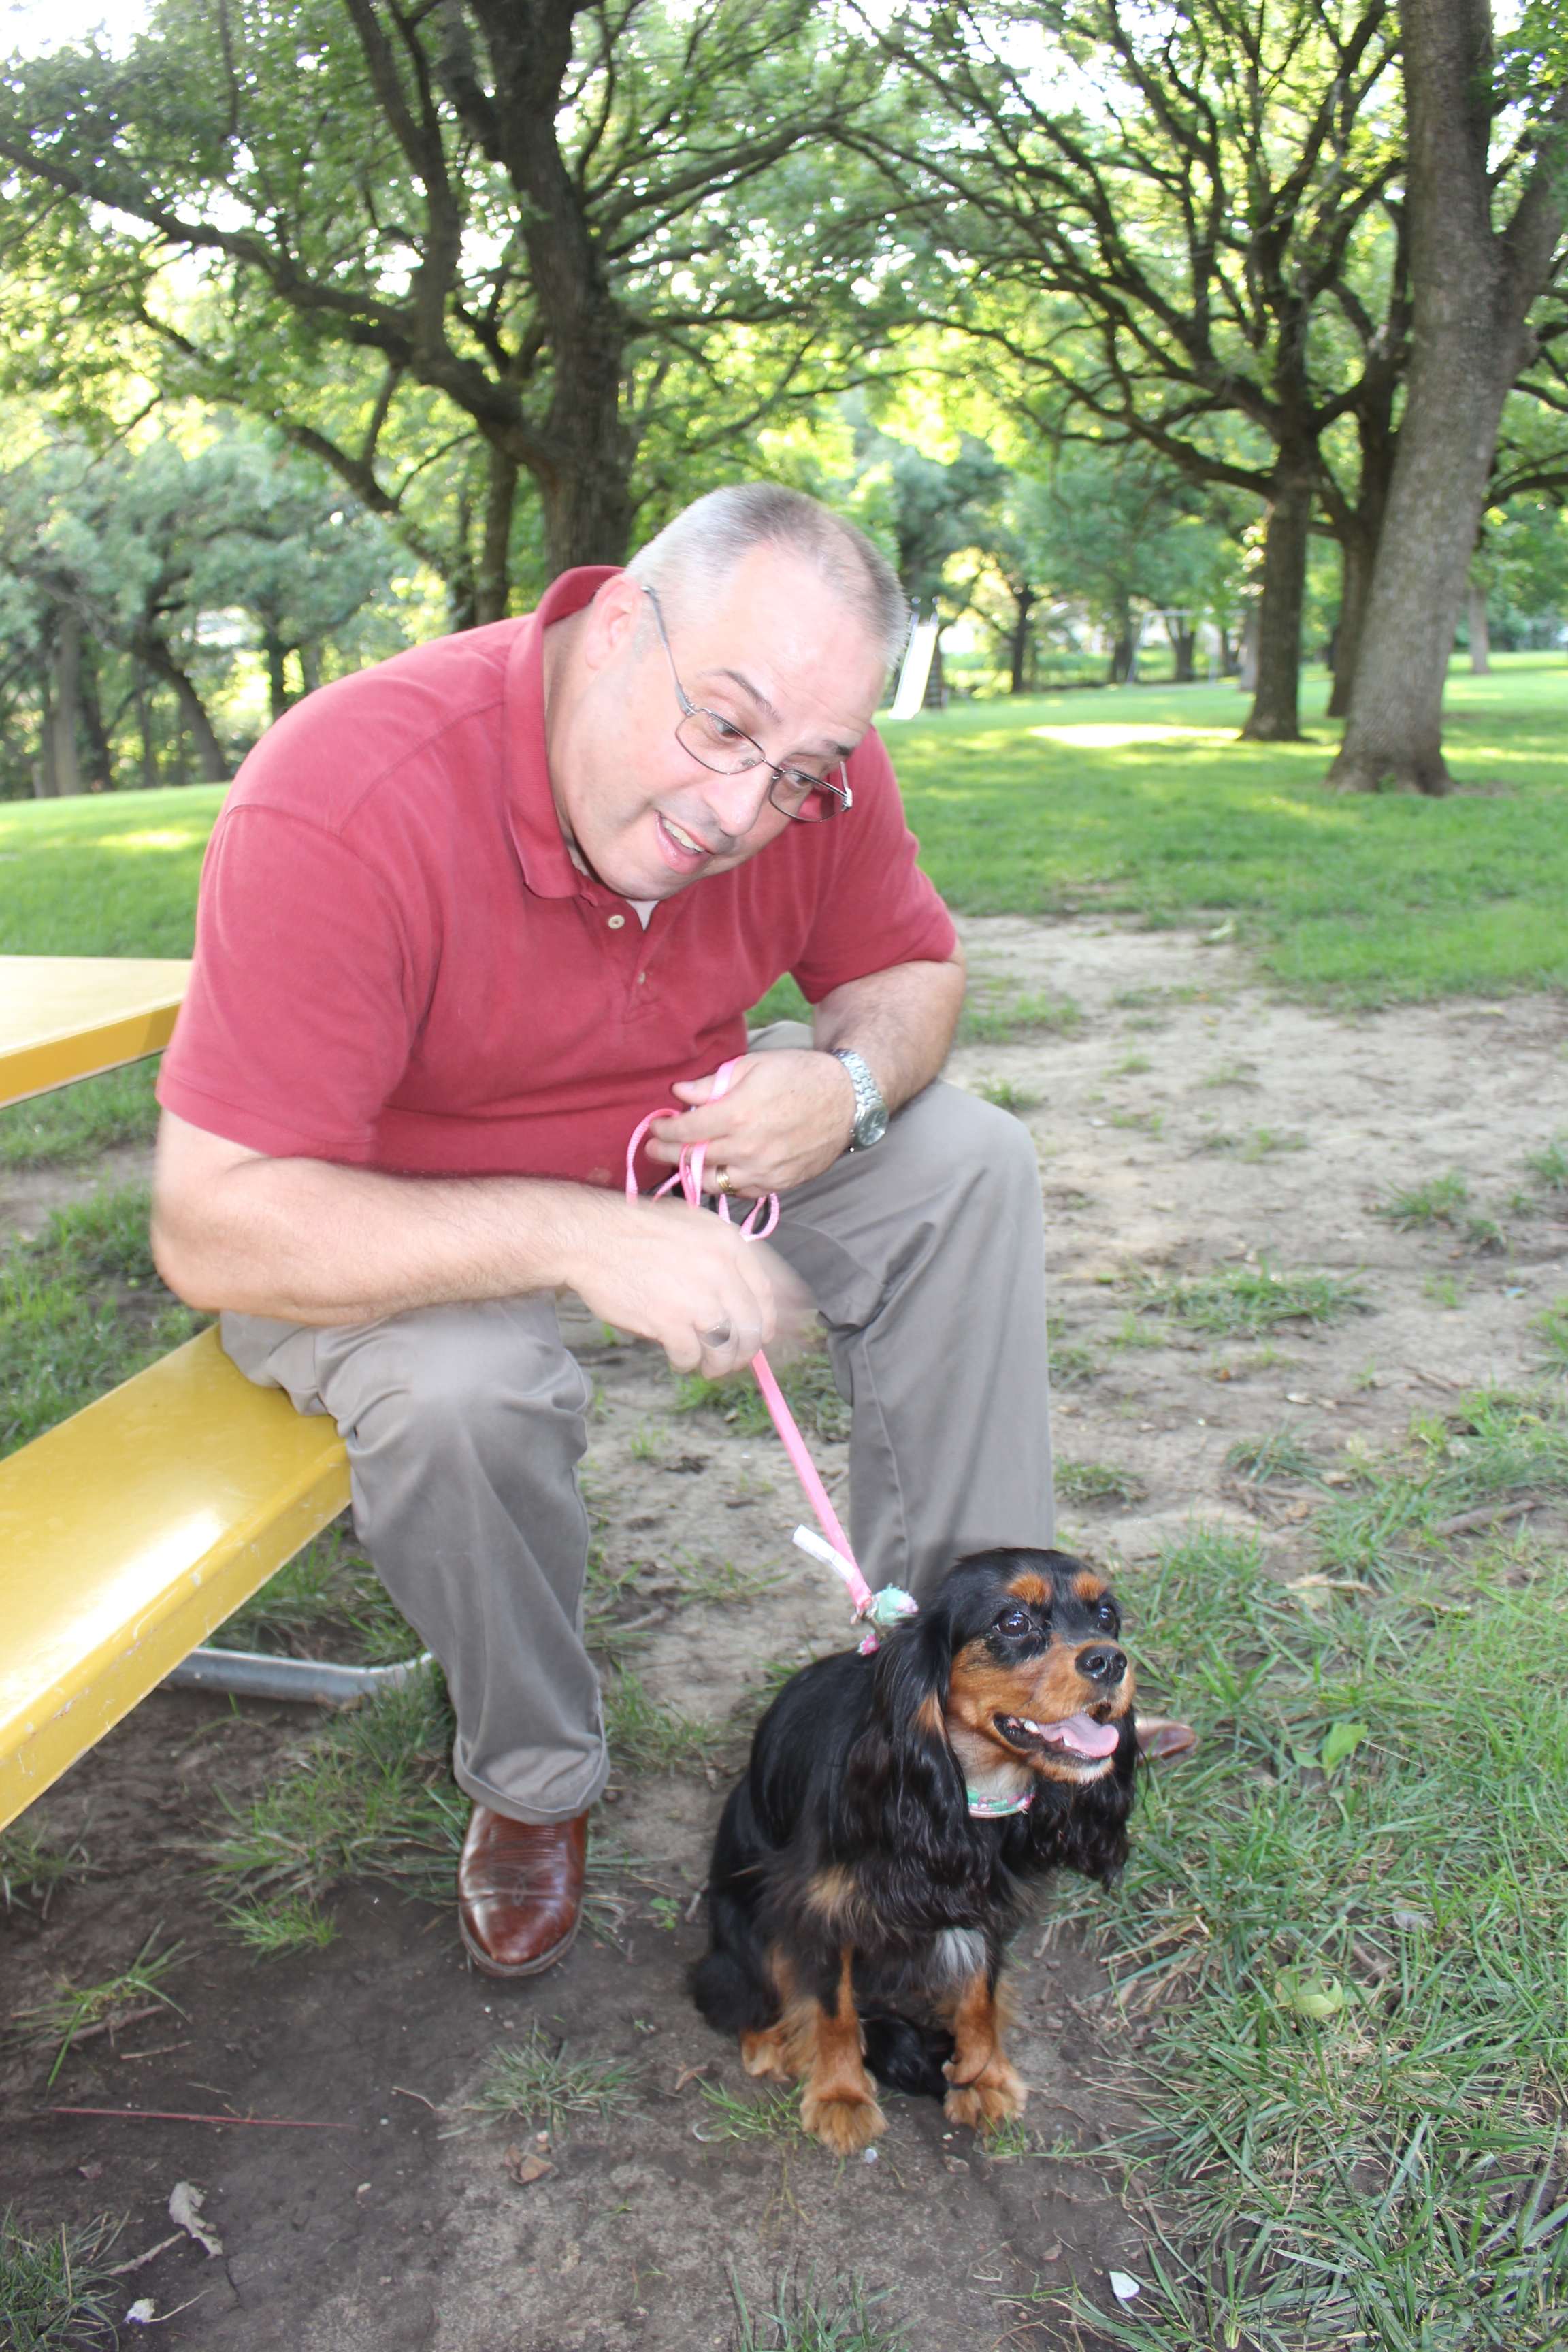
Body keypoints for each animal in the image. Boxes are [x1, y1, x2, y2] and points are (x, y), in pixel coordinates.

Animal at [696, 1543, 1142, 2154]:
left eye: (1106, 1617)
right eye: (1013, 1622)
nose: (1110, 1661)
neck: (971, 1785)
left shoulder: (985, 1903)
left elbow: (980, 1995)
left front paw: (982, 2078)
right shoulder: (821, 1907)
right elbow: (833, 2008)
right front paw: (842, 2096)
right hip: (744, 1911)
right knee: (736, 1982)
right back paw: (767, 2037)